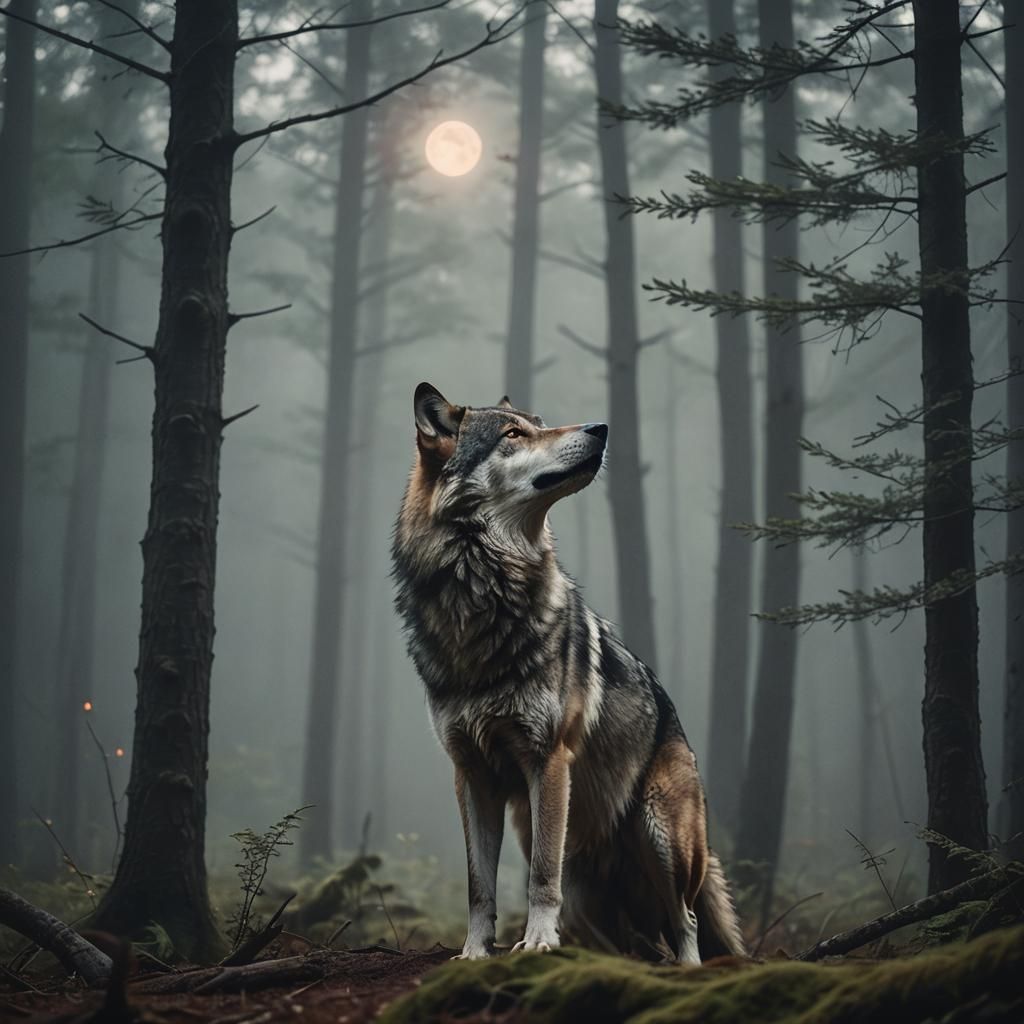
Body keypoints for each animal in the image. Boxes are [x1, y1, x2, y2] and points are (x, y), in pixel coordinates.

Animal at [392, 383, 745, 963]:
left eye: (540, 422)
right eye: (514, 433)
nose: (600, 428)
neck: (482, 601)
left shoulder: (548, 760)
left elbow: (540, 873)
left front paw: (536, 943)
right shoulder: (472, 775)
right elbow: (478, 885)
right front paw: (474, 953)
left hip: (662, 837)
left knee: (687, 919)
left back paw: (689, 969)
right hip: (580, 880)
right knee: (640, 942)